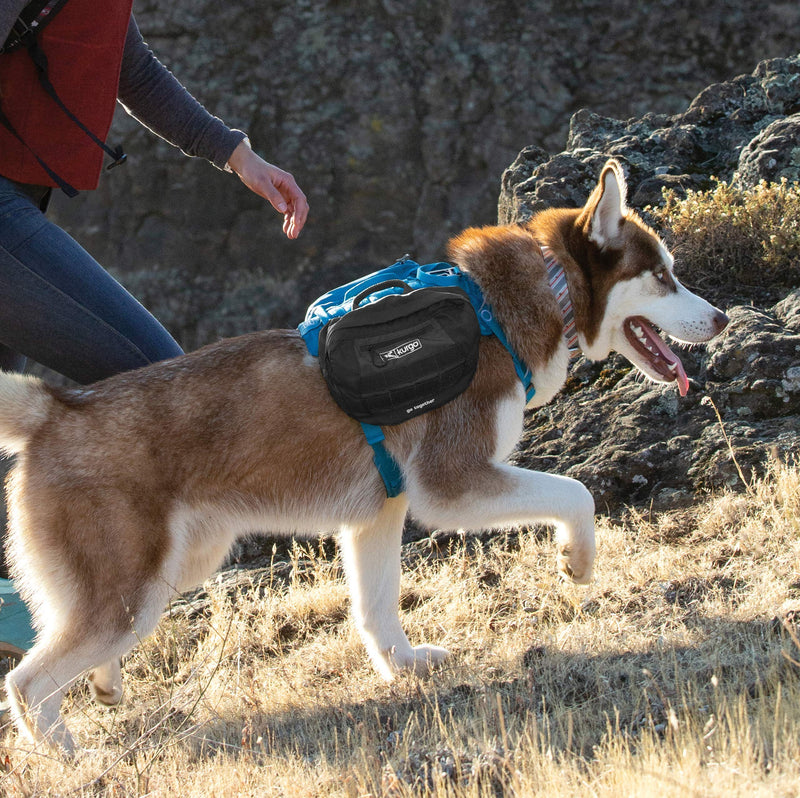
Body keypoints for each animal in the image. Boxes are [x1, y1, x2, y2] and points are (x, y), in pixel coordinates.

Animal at [0, 158, 724, 756]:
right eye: (663, 276)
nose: (720, 318)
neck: (505, 309)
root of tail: (58, 405)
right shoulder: (452, 485)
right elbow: (576, 493)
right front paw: (578, 560)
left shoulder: (380, 511)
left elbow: (377, 610)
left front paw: (402, 668)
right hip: (133, 593)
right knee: (28, 683)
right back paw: (73, 758)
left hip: (179, 566)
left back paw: (106, 685)